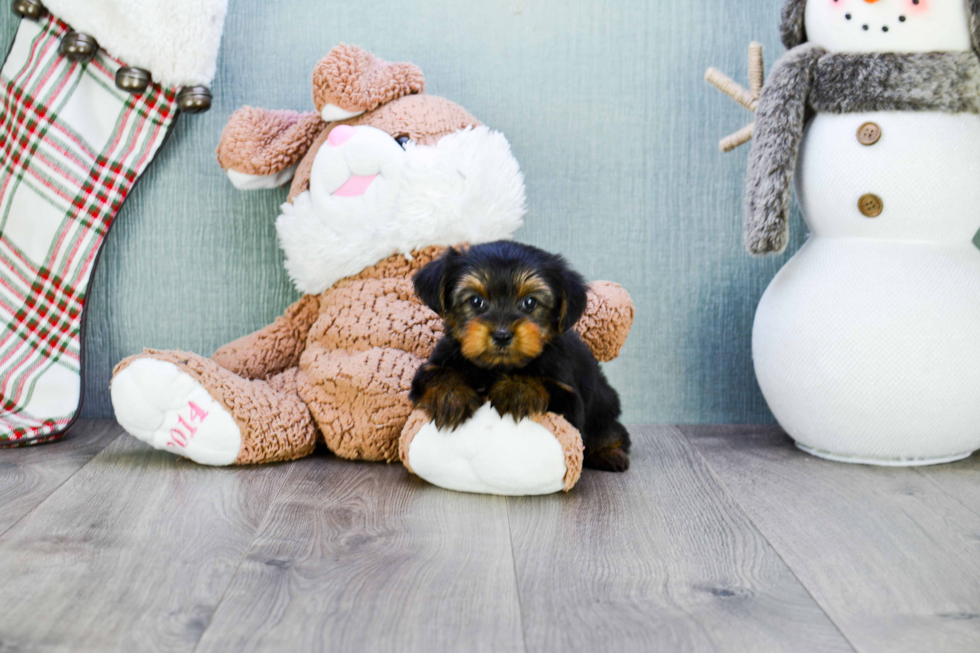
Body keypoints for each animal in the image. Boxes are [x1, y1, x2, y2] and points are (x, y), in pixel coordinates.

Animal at [410, 239, 632, 468]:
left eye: (530, 302)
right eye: (476, 301)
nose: (502, 335)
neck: (496, 367)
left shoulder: (570, 400)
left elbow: (540, 380)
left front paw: (517, 389)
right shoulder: (433, 364)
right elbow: (436, 373)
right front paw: (451, 396)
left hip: (603, 408)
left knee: (613, 433)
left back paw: (609, 454)